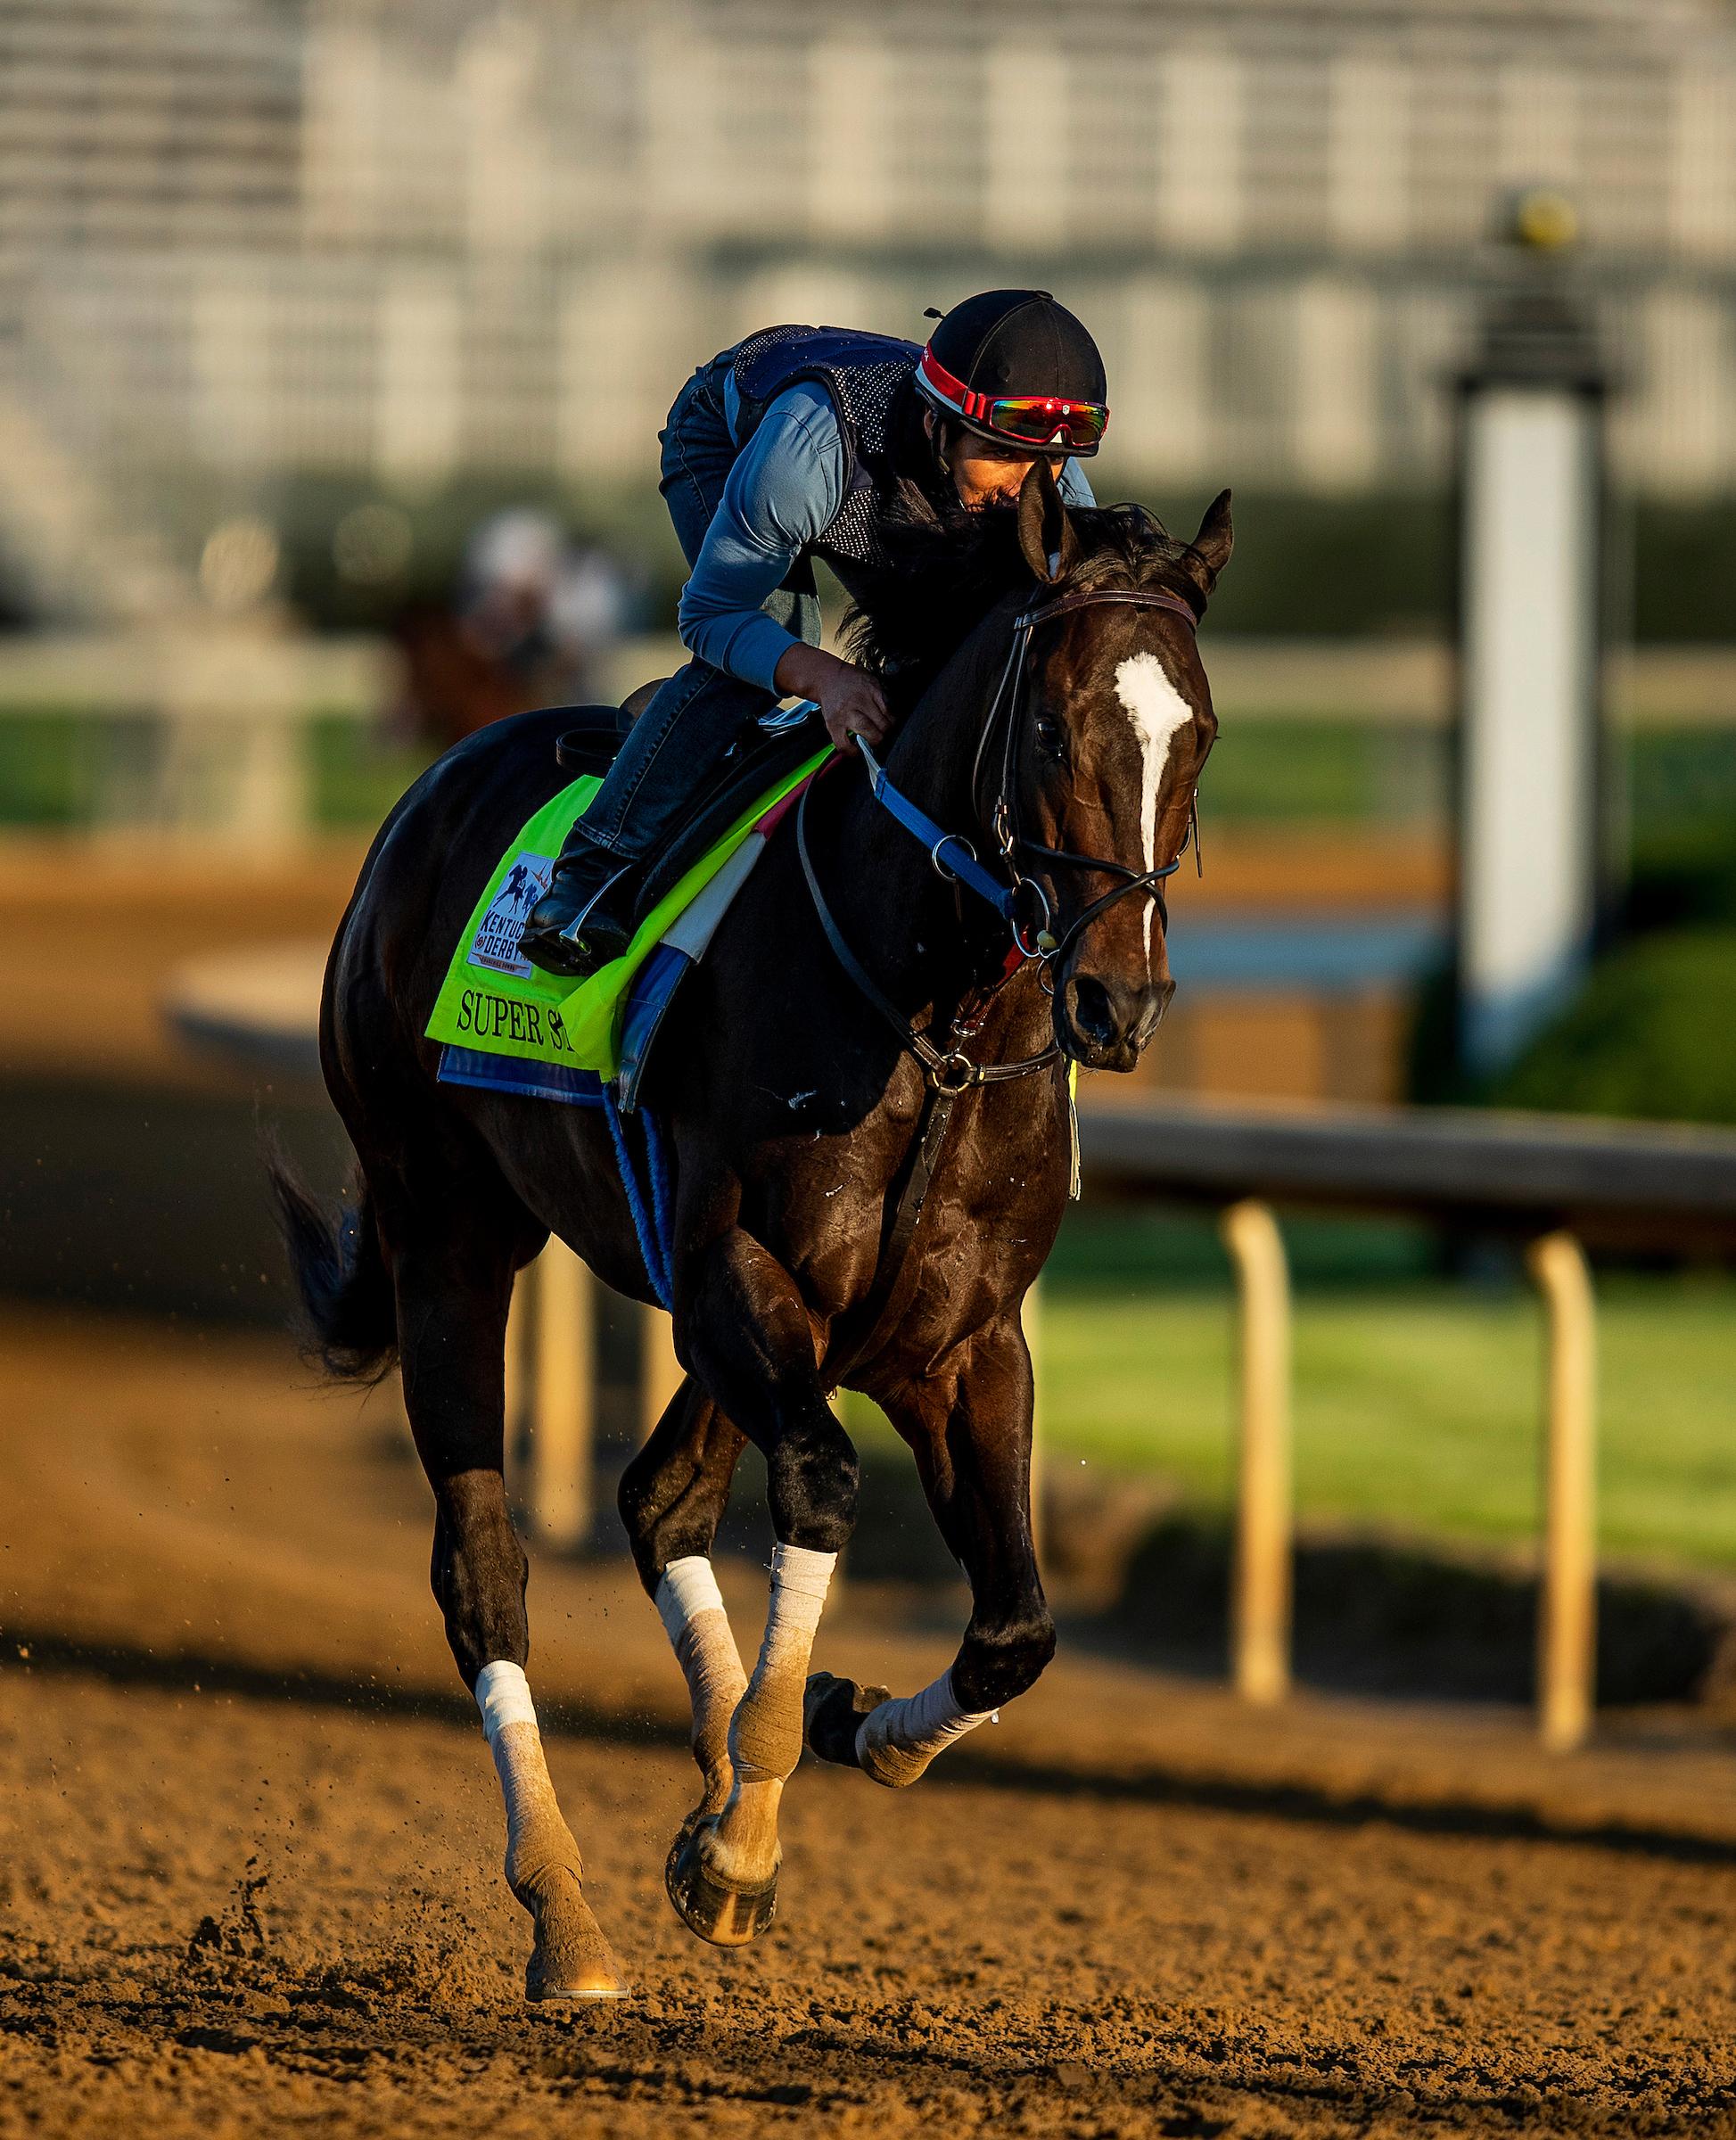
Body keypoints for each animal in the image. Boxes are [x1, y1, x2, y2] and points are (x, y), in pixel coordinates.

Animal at [272, 462, 1231, 2000]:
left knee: (657, 1496)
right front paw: (738, 1834)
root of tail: (429, 798)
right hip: (447, 1236)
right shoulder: (731, 1271)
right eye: (1051, 726)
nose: (1115, 1001)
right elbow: (825, 1489)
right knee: (484, 1571)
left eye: (1193, 733)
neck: (936, 1023)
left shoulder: (954, 1338)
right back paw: (568, 1910)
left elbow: (1015, 1627)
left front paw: (835, 1731)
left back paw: (728, 1775)